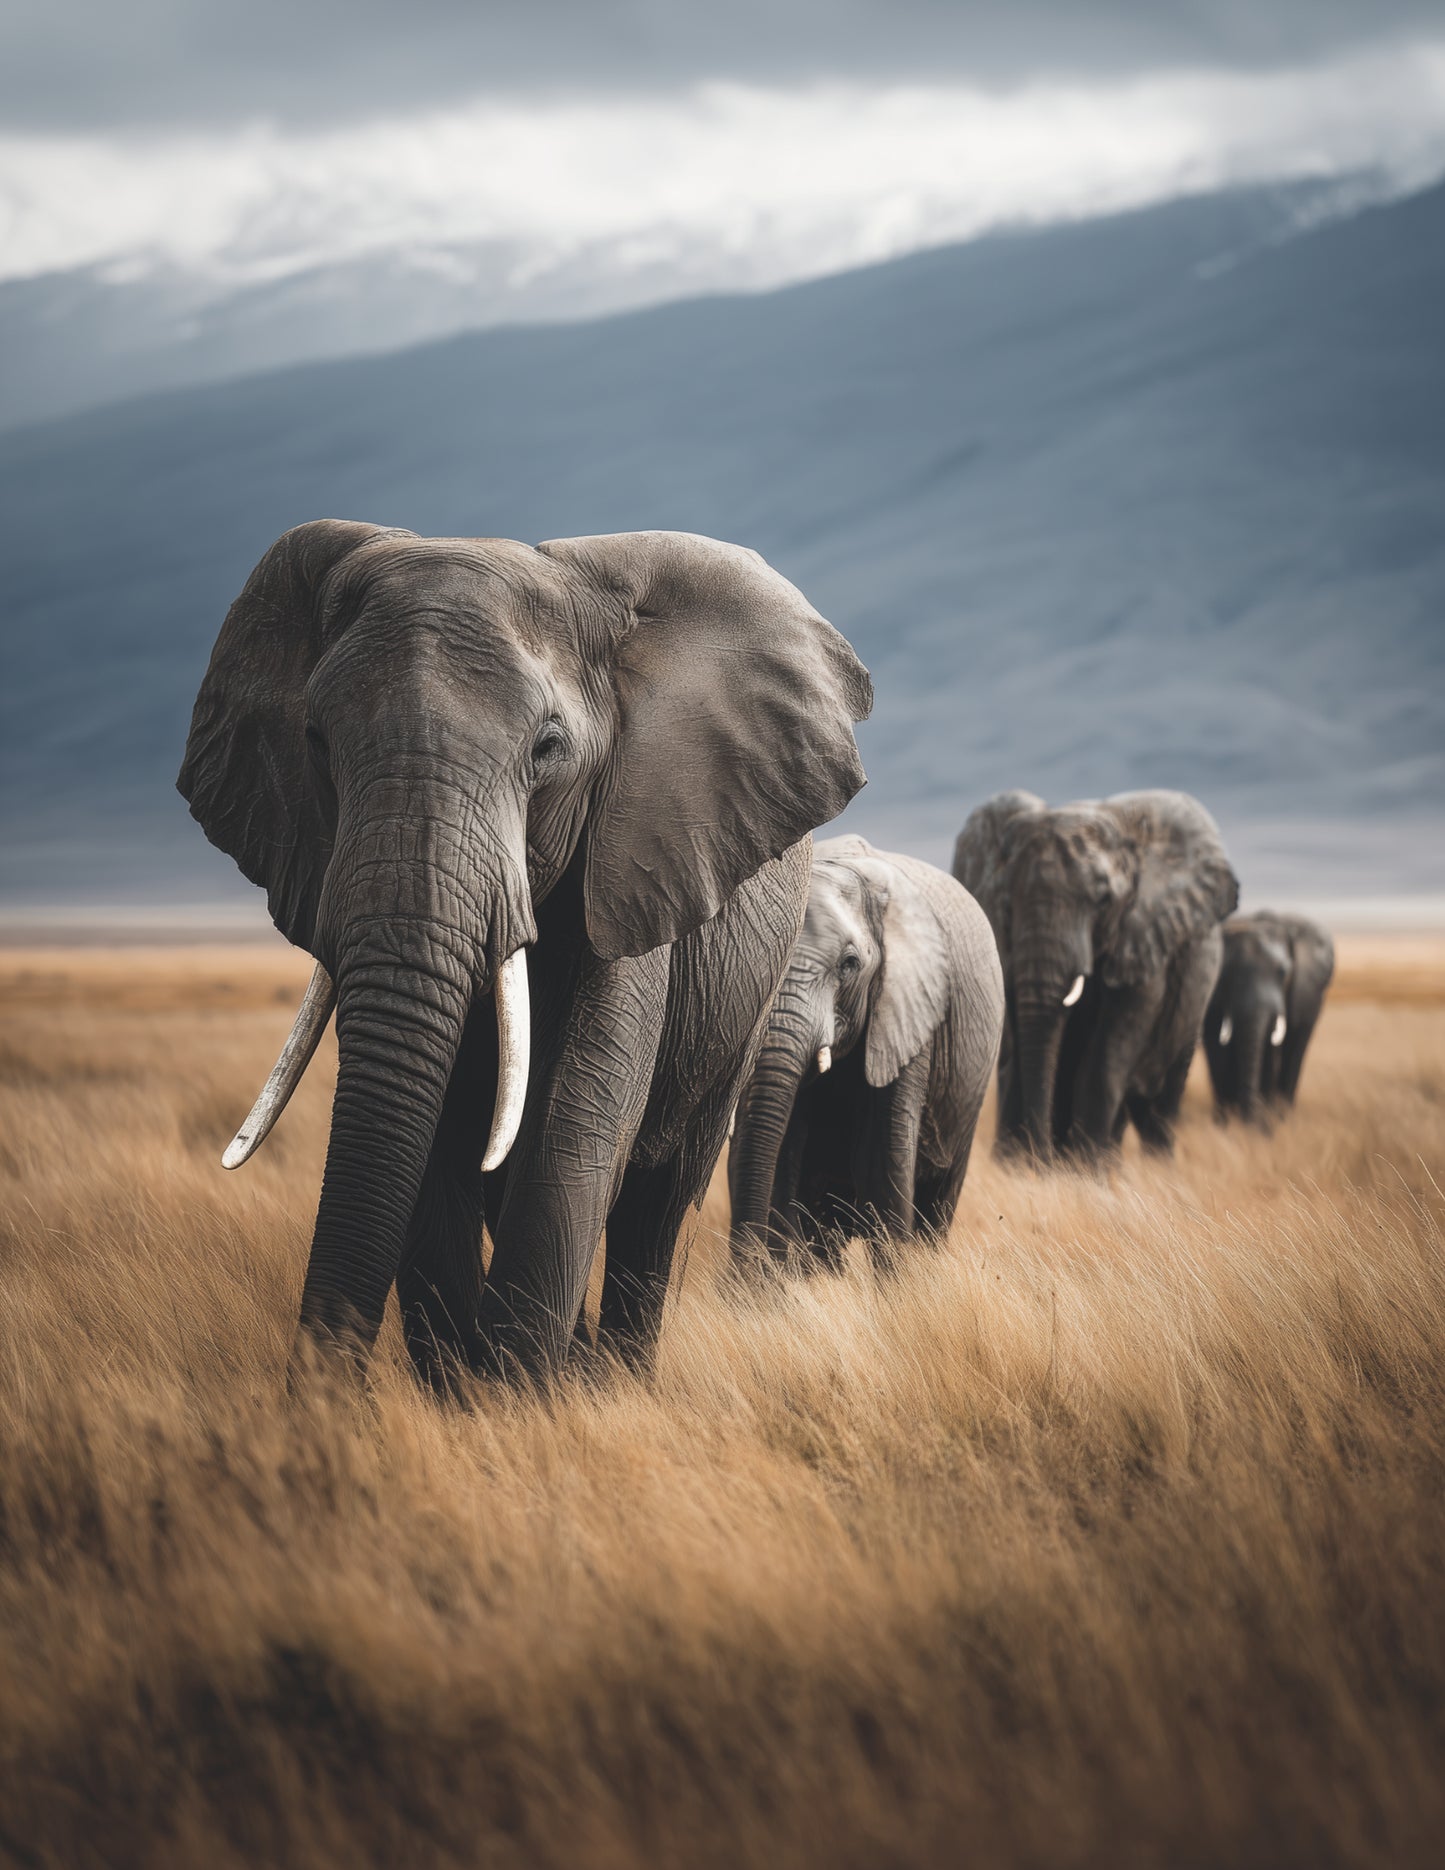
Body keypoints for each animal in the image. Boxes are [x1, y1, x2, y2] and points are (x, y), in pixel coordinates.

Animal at [178, 520, 871, 1385]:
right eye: (314, 740)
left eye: (546, 748)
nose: (314, 1399)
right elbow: (432, 1149)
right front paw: (470, 1396)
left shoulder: (634, 853)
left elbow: (571, 1131)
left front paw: (516, 1399)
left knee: (657, 1200)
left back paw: (616, 1378)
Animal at [953, 789, 1238, 1162]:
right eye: (1007, 904)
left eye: (1103, 900)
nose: (1039, 1156)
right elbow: (1014, 1042)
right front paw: (1015, 1164)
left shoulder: (1144, 937)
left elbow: (1113, 1043)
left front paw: (1084, 1166)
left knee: (1160, 1098)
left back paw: (1144, 1162)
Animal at [1203, 911, 1334, 1122]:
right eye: (1226, 974)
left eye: (1283, 973)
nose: (1249, 1118)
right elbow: (1216, 1044)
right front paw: (1225, 1123)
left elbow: (1275, 1050)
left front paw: (1266, 1120)